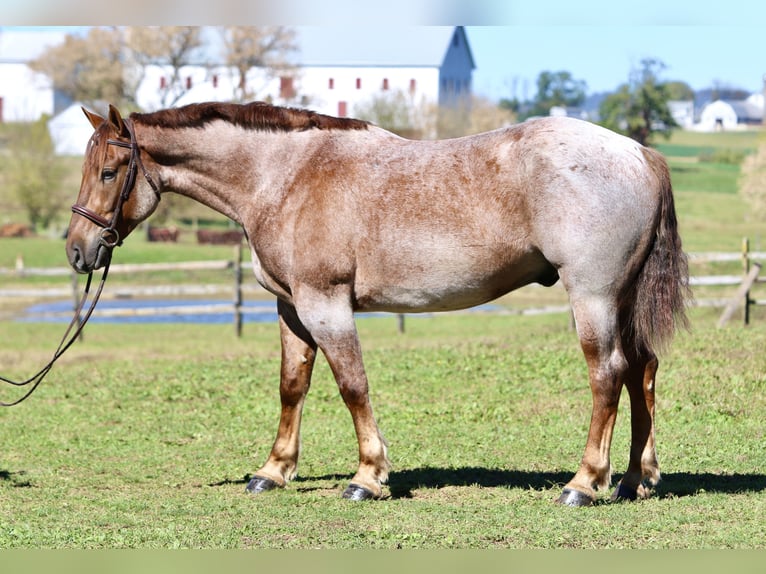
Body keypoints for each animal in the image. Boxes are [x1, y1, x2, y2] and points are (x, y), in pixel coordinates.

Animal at [65, 101, 689, 506]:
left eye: (109, 172)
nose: (77, 249)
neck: (286, 177)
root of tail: (640, 153)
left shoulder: (326, 305)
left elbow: (352, 386)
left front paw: (367, 477)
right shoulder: (291, 309)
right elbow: (293, 387)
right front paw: (274, 471)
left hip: (593, 297)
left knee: (607, 375)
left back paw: (584, 483)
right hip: (622, 300)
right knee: (643, 371)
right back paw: (635, 478)